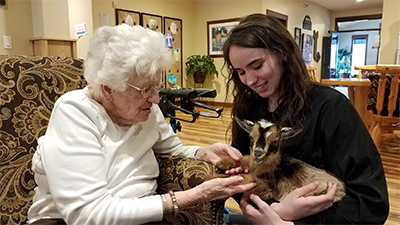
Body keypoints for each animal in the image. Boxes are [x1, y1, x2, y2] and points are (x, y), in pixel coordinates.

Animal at [211, 118, 346, 202]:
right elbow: (244, 158)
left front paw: (212, 177)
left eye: (275, 141)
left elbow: (244, 177)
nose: (258, 153)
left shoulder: (267, 187)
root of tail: (343, 188)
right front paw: (221, 164)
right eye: (250, 137)